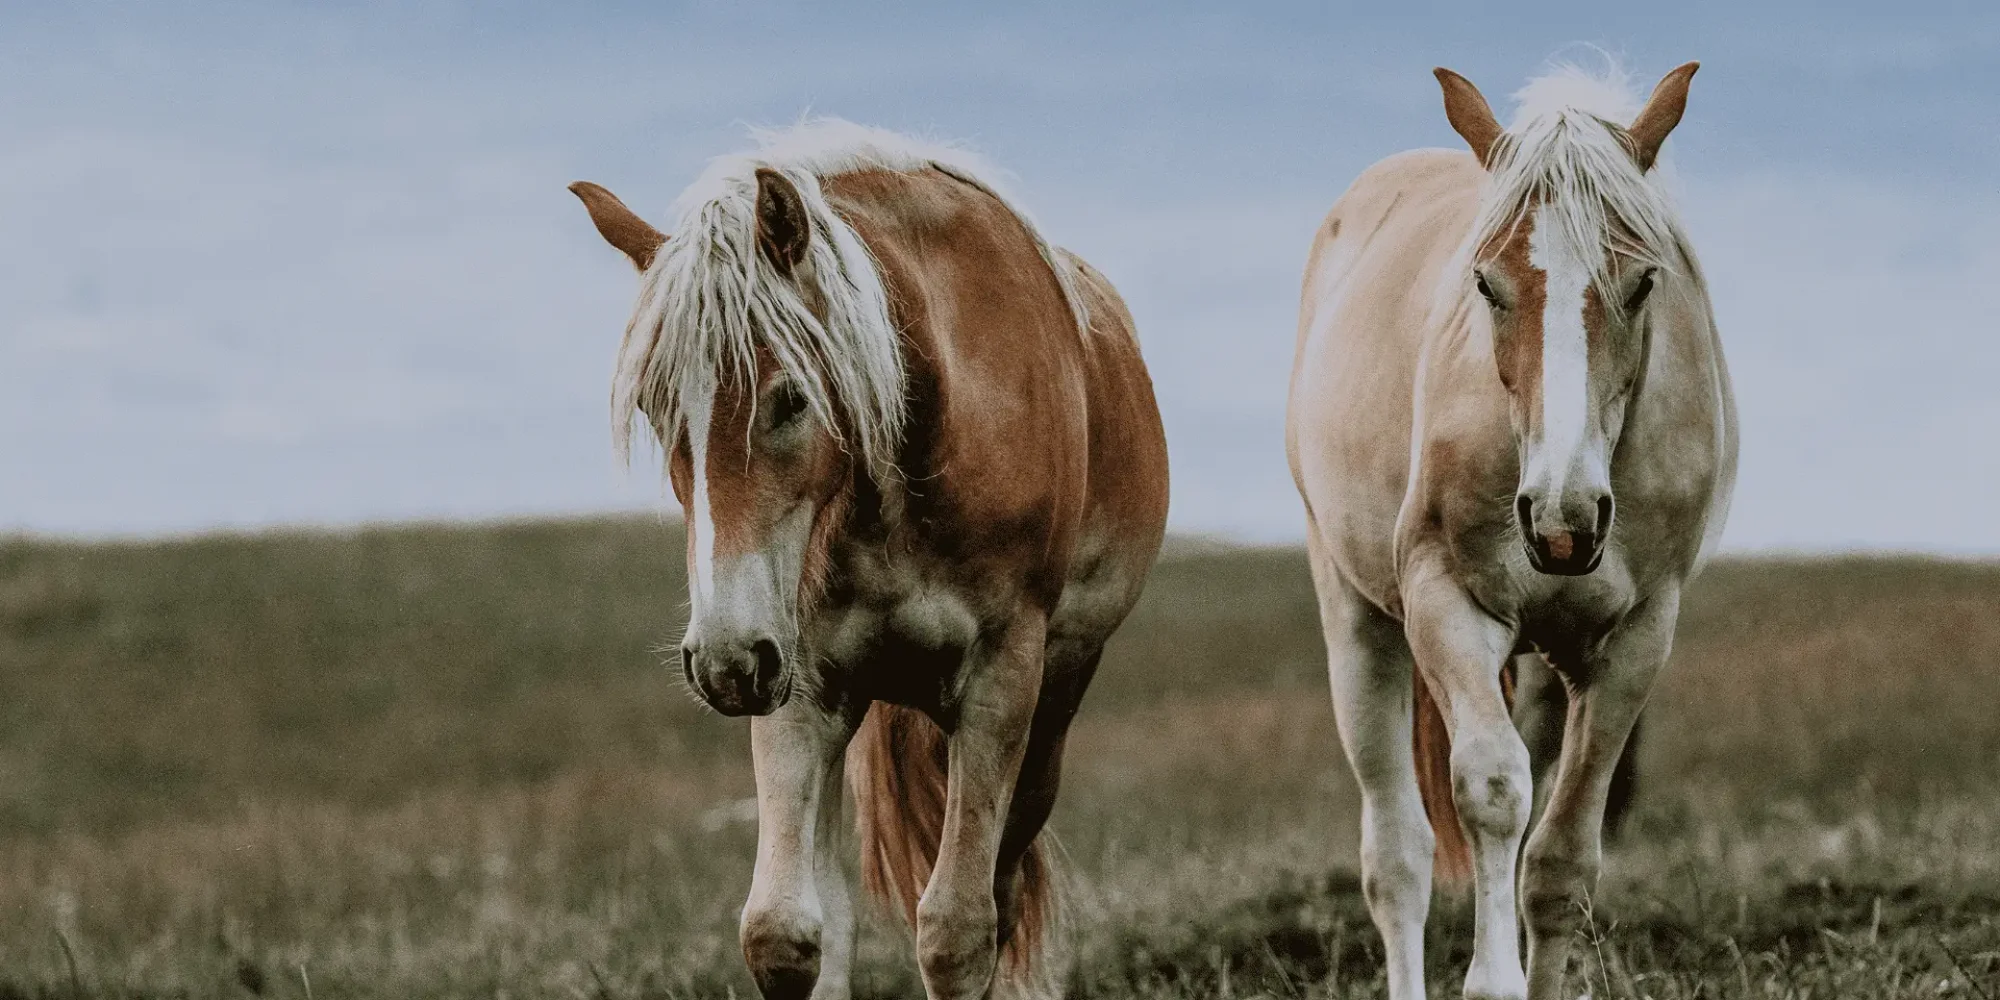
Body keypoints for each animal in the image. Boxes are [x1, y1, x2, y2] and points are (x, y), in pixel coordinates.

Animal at [572, 123, 1168, 1000]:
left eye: (791, 398)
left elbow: (958, 933)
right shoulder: (799, 677)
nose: (720, 662)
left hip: (1055, 701)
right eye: (653, 406)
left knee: (1007, 878)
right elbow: (784, 934)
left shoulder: (1000, 680)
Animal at [1296, 64, 1736, 1000]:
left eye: (1642, 284)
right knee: (1398, 859)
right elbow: (1496, 793)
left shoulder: (1637, 641)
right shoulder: (1447, 605)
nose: (1563, 521)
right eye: (1487, 284)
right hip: (1359, 625)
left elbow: (1562, 861)